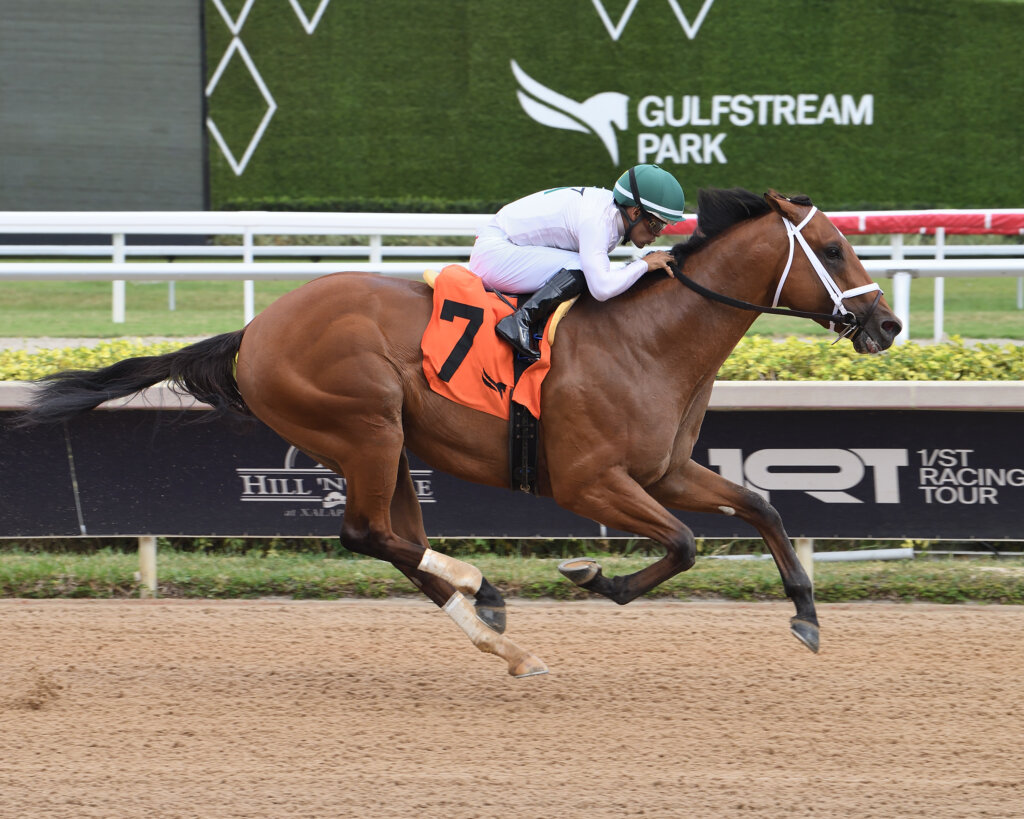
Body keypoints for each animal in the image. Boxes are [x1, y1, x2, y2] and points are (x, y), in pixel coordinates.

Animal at [22, 190, 905, 679]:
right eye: (833, 248)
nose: (888, 324)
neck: (649, 339)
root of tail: (254, 330)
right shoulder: (590, 480)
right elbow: (686, 543)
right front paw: (595, 575)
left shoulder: (664, 471)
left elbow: (763, 505)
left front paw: (806, 613)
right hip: (365, 423)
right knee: (367, 533)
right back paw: (484, 587)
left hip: (386, 446)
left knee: (396, 541)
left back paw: (499, 635)